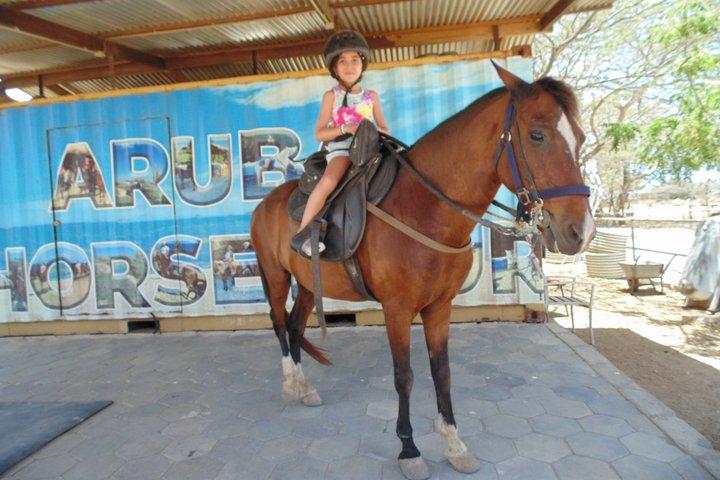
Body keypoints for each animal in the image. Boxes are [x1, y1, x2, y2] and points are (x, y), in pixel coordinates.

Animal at [250, 63, 595, 480]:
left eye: (580, 138)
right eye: (537, 135)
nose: (581, 231)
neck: (425, 208)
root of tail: (266, 203)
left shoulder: (440, 307)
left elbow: (441, 372)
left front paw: (454, 443)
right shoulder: (397, 309)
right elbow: (405, 376)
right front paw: (409, 449)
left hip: (306, 284)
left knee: (297, 326)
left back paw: (304, 387)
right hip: (275, 275)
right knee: (279, 324)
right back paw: (289, 384)